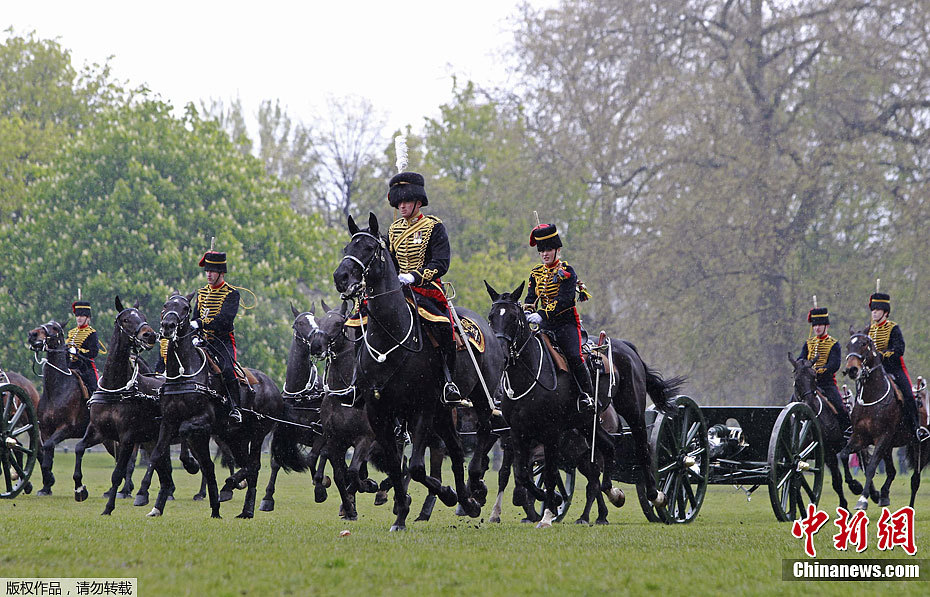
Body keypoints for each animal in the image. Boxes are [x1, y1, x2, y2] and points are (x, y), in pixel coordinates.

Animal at [27, 318, 93, 496]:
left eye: (55, 328)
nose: (32, 334)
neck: (57, 390)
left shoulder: (66, 428)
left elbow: (49, 447)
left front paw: (49, 480)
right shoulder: (45, 430)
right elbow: (46, 453)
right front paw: (46, 487)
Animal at [70, 296, 170, 516]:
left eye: (142, 316)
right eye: (125, 319)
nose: (150, 335)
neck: (115, 389)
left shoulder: (126, 438)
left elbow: (117, 473)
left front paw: (108, 507)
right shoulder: (99, 431)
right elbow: (79, 448)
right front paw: (80, 489)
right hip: (153, 441)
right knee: (164, 475)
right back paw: (155, 507)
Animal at [330, 214, 496, 532]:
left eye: (369, 248)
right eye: (347, 246)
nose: (341, 277)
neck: (391, 338)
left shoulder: (422, 408)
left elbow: (416, 468)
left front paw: (441, 496)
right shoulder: (379, 411)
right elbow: (396, 467)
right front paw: (401, 513)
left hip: (479, 398)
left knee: (485, 433)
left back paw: (475, 486)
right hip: (443, 412)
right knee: (456, 449)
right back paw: (467, 500)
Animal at [788, 354, 868, 508]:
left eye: (814, 377)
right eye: (797, 378)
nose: (809, 403)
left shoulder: (829, 452)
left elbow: (837, 480)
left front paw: (844, 506)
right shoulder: (802, 455)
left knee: (861, 463)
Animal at [836, 326, 924, 508]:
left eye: (864, 344)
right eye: (848, 346)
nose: (851, 370)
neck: (871, 398)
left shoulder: (882, 438)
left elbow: (870, 467)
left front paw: (863, 499)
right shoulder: (860, 437)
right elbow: (843, 455)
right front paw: (855, 485)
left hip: (916, 444)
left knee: (915, 480)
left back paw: (909, 507)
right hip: (889, 447)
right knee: (892, 471)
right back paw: (883, 495)